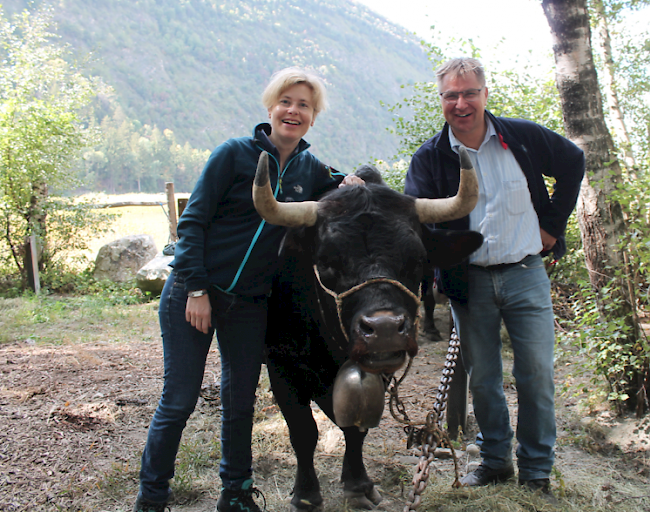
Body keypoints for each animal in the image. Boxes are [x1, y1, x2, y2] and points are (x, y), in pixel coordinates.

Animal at [253, 150, 480, 510]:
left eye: (418, 259)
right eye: (326, 262)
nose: (385, 329)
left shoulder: (379, 368)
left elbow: (355, 430)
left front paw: (358, 483)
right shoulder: (282, 366)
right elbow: (303, 431)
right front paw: (306, 493)